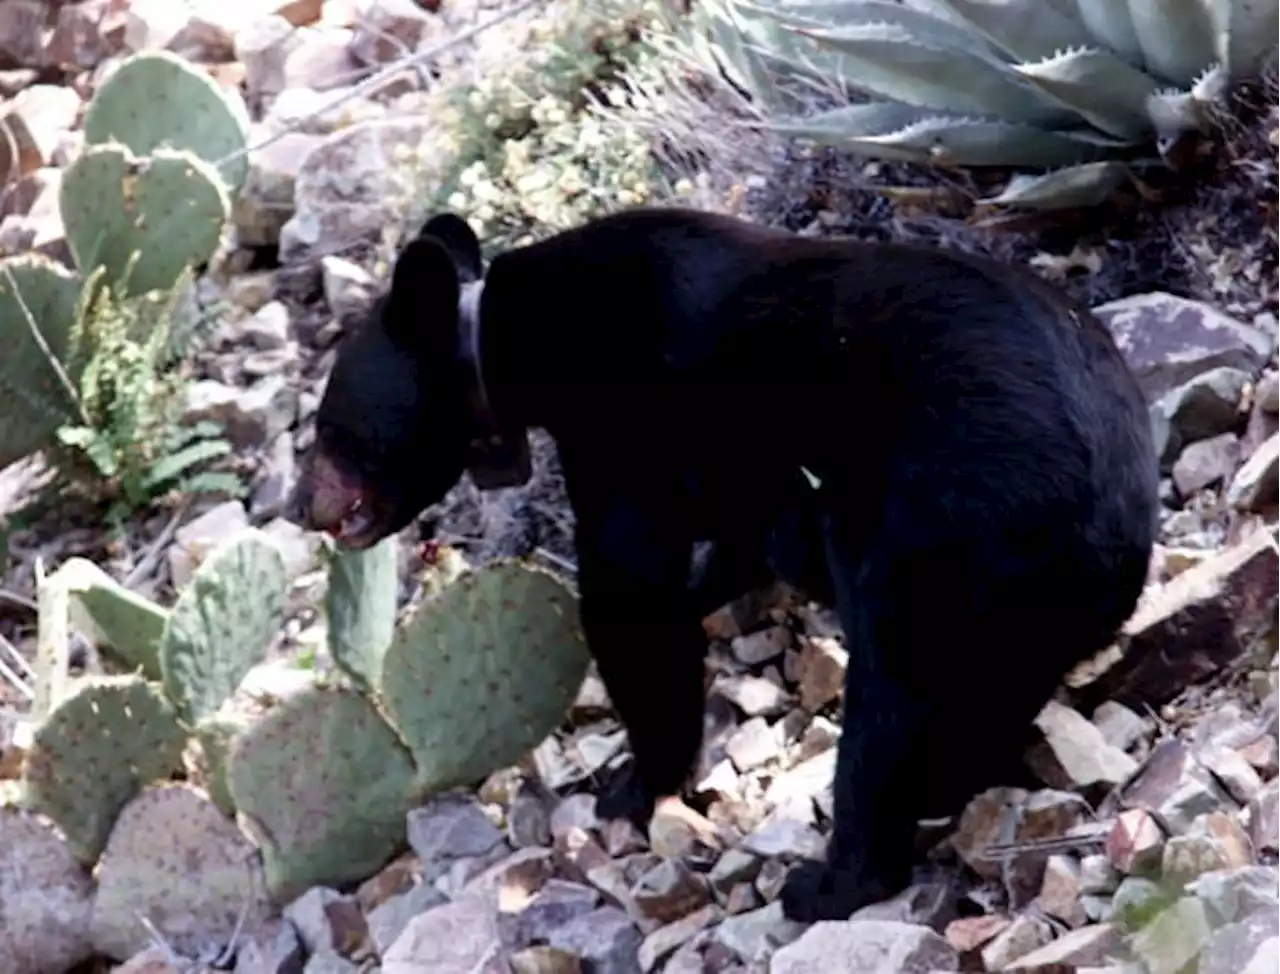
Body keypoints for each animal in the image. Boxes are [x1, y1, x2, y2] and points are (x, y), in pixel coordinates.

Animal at [288, 207, 1162, 921]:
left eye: (329, 427)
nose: (300, 504)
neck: (515, 341)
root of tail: (1112, 516)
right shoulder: (742, 473)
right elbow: (731, 550)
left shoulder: (623, 415)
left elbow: (628, 590)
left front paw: (634, 782)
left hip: (943, 533)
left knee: (890, 707)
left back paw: (831, 880)